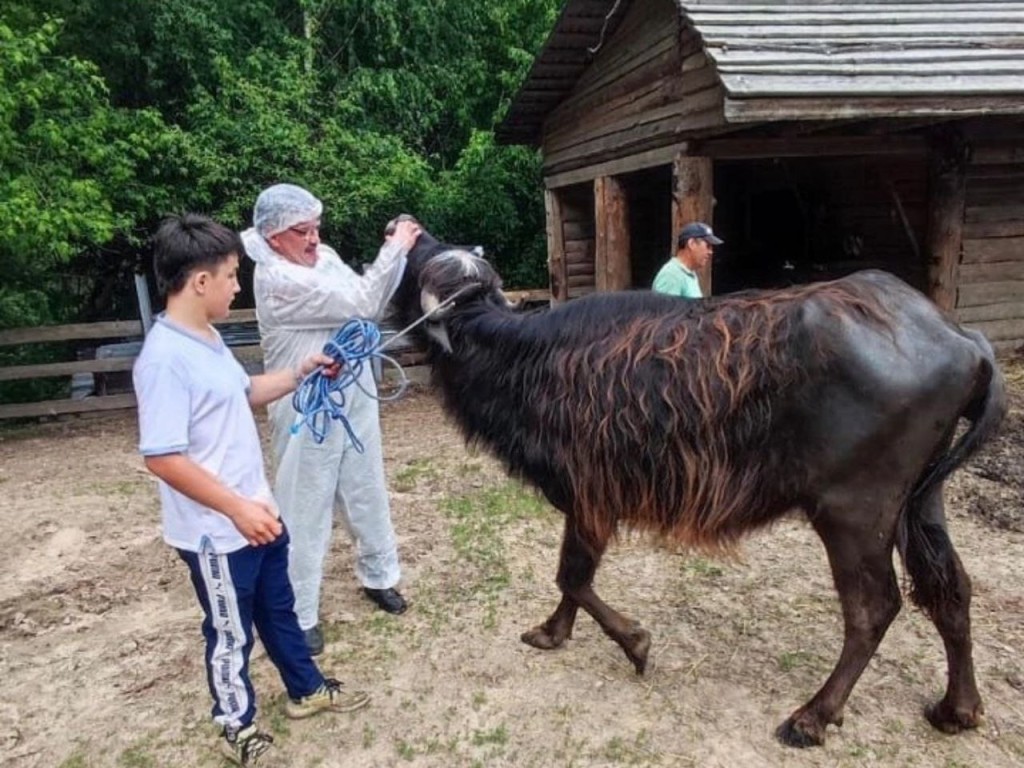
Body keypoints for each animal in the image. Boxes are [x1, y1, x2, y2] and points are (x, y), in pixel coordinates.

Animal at [389, 243, 999, 749]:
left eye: (410, 267)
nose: (403, 232)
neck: (527, 359)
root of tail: (962, 338)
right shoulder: (587, 500)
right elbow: (571, 578)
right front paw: (552, 632)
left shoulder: (590, 495)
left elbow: (574, 576)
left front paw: (635, 644)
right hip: (922, 501)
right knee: (952, 589)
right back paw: (957, 708)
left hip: (854, 512)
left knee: (874, 608)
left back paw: (813, 717)